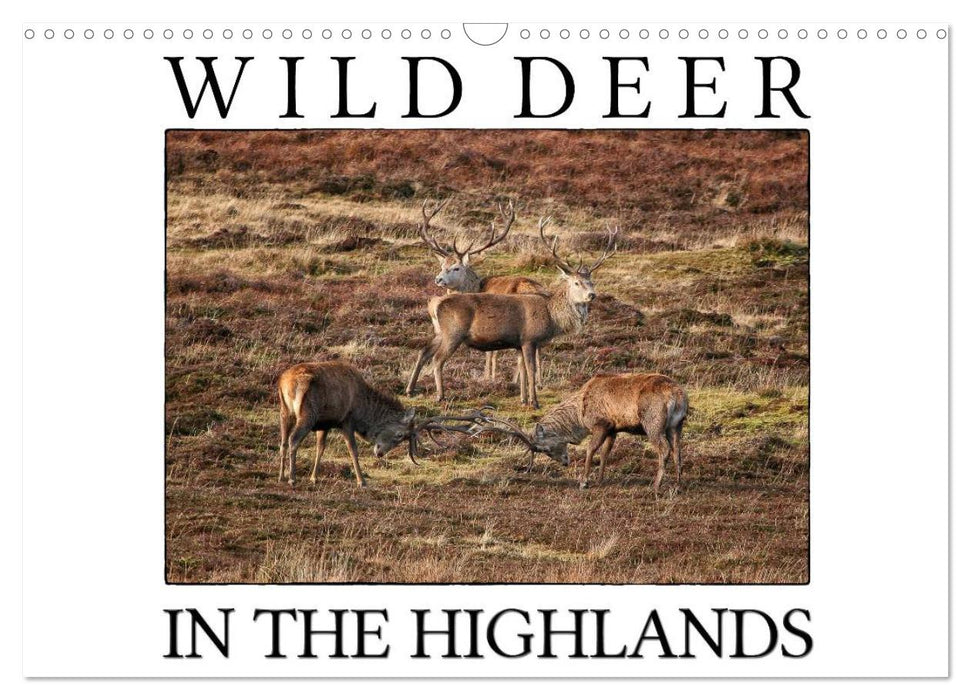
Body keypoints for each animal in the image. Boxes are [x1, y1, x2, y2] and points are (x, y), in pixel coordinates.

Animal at [277, 361, 486, 487]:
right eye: (400, 435)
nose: (380, 453)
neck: (363, 408)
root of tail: (285, 382)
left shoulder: (326, 423)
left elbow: (320, 448)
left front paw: (314, 477)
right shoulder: (346, 420)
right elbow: (353, 450)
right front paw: (362, 481)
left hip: (285, 411)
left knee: (283, 442)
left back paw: (281, 476)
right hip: (307, 414)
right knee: (294, 440)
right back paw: (292, 478)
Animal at [405, 217, 618, 409]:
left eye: (591, 282)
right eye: (576, 283)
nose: (592, 295)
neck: (551, 316)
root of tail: (434, 304)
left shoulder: (519, 343)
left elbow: (522, 370)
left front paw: (523, 399)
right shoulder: (530, 338)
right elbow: (530, 370)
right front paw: (534, 402)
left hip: (439, 332)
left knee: (423, 351)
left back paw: (410, 389)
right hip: (453, 333)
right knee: (437, 359)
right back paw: (440, 396)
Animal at [418, 198, 546, 383]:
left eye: (456, 268)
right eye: (442, 266)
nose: (438, 279)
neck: (476, 286)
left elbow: (491, 353)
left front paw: (488, 377)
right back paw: (539, 380)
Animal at [476, 373, 688, 495]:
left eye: (544, 448)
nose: (565, 462)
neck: (579, 414)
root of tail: (678, 396)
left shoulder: (601, 423)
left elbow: (591, 449)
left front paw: (584, 482)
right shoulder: (613, 428)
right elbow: (605, 452)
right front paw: (600, 480)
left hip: (653, 422)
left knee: (664, 449)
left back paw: (656, 486)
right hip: (676, 424)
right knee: (678, 450)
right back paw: (677, 485)